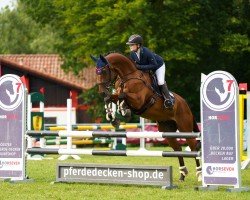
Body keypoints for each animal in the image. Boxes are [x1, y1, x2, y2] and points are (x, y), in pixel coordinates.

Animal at [91, 52, 202, 181]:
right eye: (96, 71)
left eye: (103, 71)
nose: (101, 92)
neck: (127, 77)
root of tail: (185, 103)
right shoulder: (117, 95)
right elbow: (110, 98)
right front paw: (113, 117)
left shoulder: (138, 100)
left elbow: (123, 95)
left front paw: (124, 111)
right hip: (167, 130)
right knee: (178, 149)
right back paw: (182, 175)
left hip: (184, 127)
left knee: (193, 147)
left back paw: (199, 174)